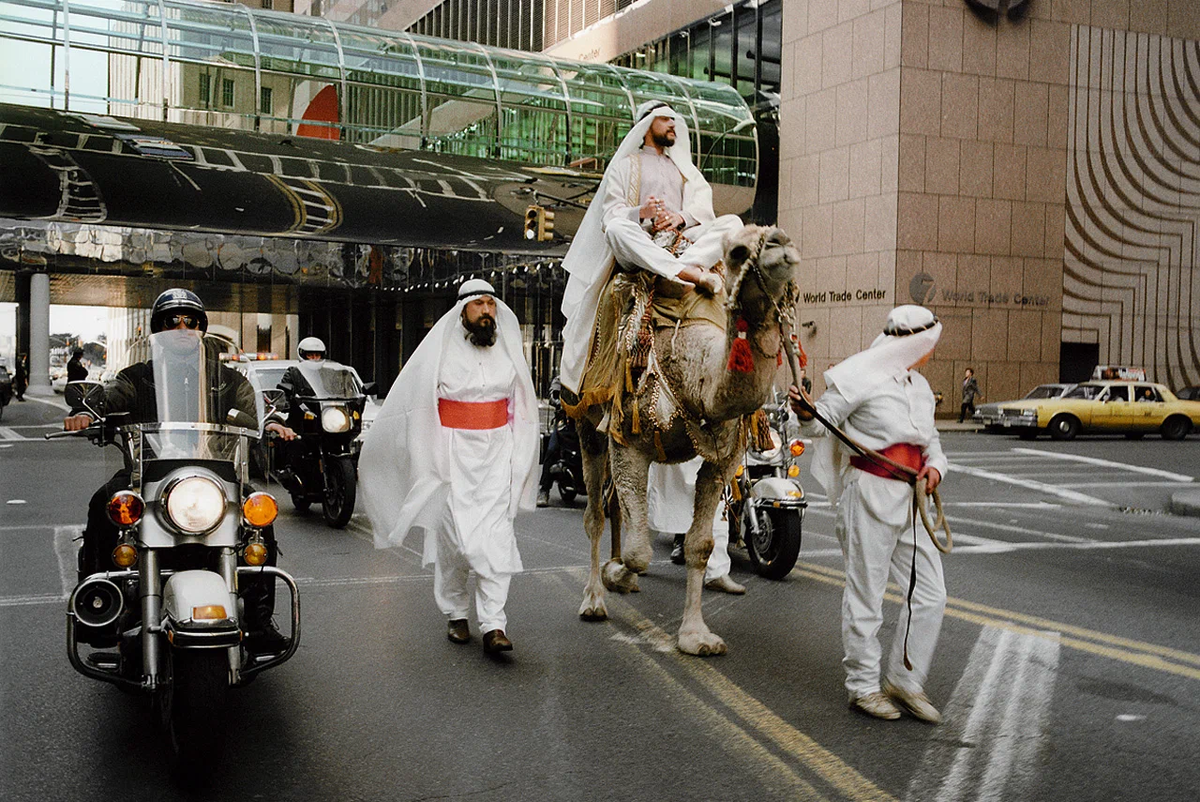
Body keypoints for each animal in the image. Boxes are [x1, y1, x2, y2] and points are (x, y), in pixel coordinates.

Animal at [573, 222, 801, 653]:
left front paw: (696, 635)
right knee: (595, 513)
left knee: (614, 507)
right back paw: (594, 598)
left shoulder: (722, 461)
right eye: (738, 251)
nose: (781, 244)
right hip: (585, 424)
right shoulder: (627, 443)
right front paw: (617, 575)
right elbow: (639, 552)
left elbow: (701, 545)